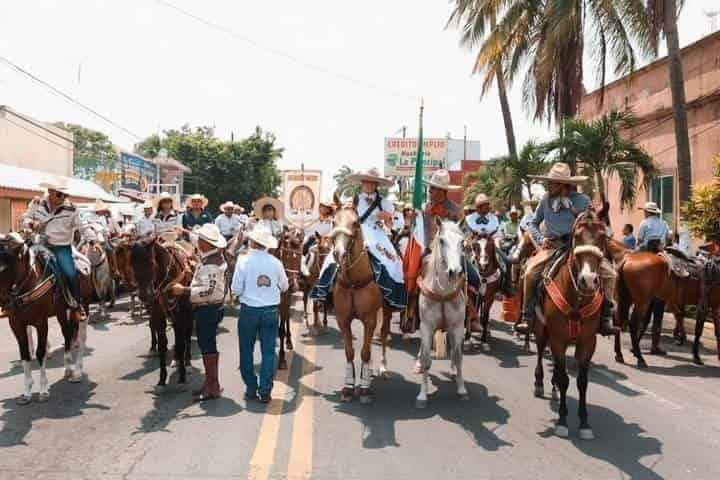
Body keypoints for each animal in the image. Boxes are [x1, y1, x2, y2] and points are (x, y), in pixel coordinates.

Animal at [0, 234, 94, 404]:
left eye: (4, 269)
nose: (3, 303)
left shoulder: (41, 322)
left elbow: (40, 352)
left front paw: (43, 390)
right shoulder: (16, 325)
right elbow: (25, 354)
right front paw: (26, 392)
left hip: (84, 307)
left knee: (81, 338)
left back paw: (77, 371)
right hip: (62, 312)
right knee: (67, 334)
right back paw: (68, 368)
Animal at [131, 238, 194, 388]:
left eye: (151, 263)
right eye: (132, 265)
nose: (143, 295)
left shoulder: (178, 313)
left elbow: (180, 343)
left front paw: (182, 377)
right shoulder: (158, 314)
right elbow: (162, 346)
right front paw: (162, 377)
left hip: (187, 311)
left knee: (187, 334)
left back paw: (187, 362)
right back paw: (176, 360)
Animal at [414, 219, 470, 406]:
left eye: (462, 241)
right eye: (442, 240)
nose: (455, 271)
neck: (443, 293)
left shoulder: (458, 327)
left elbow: (459, 356)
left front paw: (461, 389)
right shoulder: (426, 327)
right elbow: (426, 358)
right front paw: (422, 394)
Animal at [536, 212, 608, 440]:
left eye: (603, 237)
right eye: (577, 236)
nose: (588, 280)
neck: (577, 299)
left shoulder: (587, 342)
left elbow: (582, 382)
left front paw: (584, 423)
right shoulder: (558, 339)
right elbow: (564, 378)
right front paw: (562, 420)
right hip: (541, 331)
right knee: (540, 352)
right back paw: (539, 383)